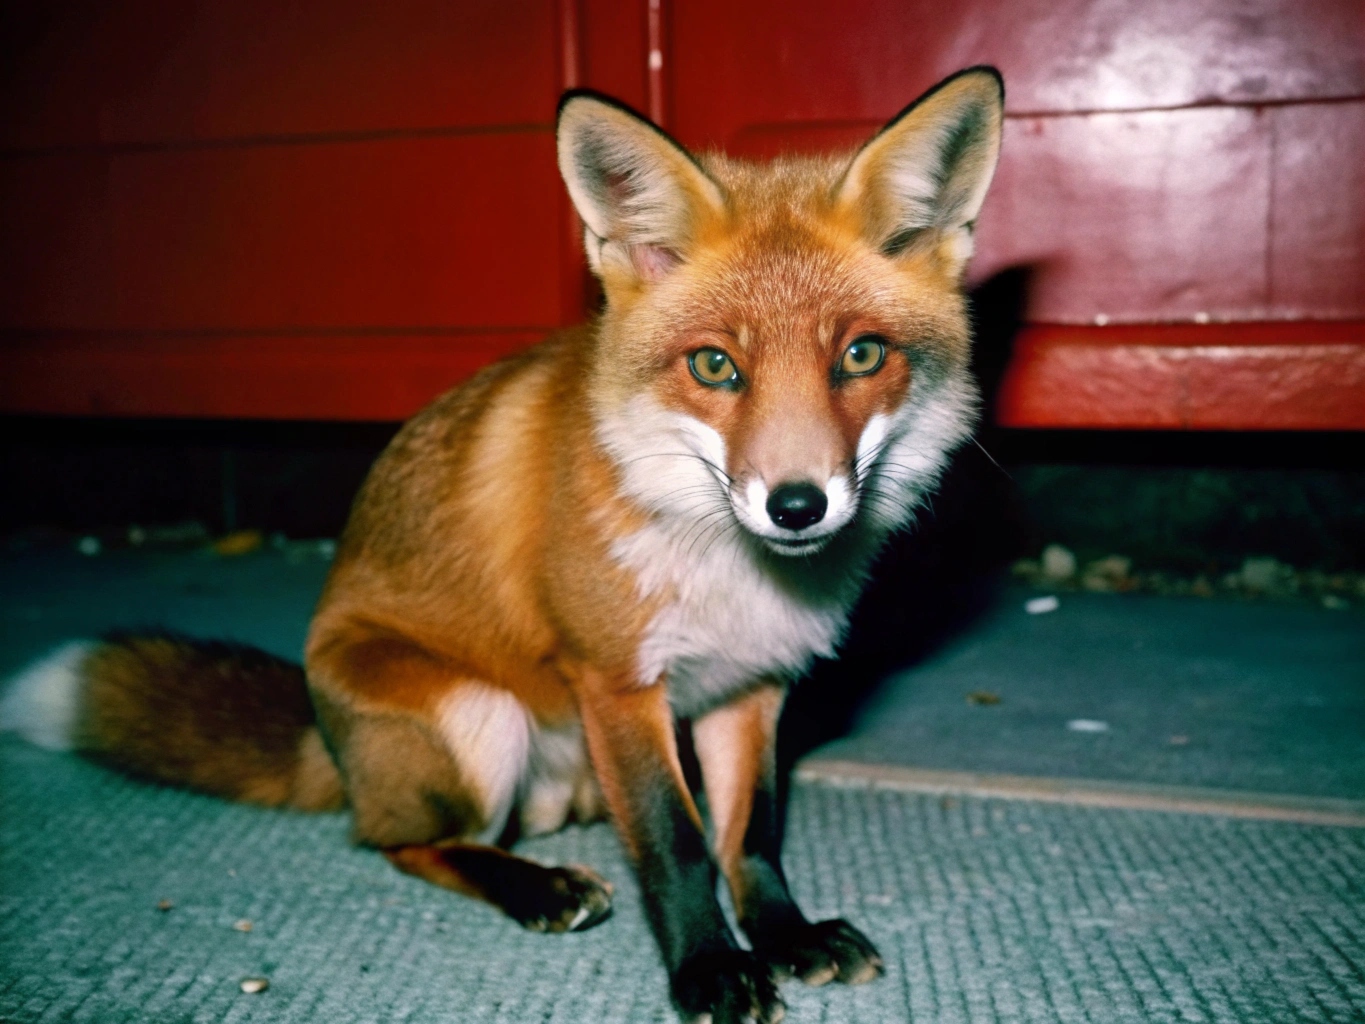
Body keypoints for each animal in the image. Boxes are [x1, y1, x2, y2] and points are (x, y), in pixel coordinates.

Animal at [1, 67, 1004, 1023]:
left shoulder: (751, 686)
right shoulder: (616, 682)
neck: (727, 574)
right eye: (715, 365)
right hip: (475, 720)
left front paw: (786, 935)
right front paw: (710, 970)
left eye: (861, 356)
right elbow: (676, 846)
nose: (797, 507)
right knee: (400, 841)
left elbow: (747, 837)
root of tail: (328, 744)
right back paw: (534, 888)